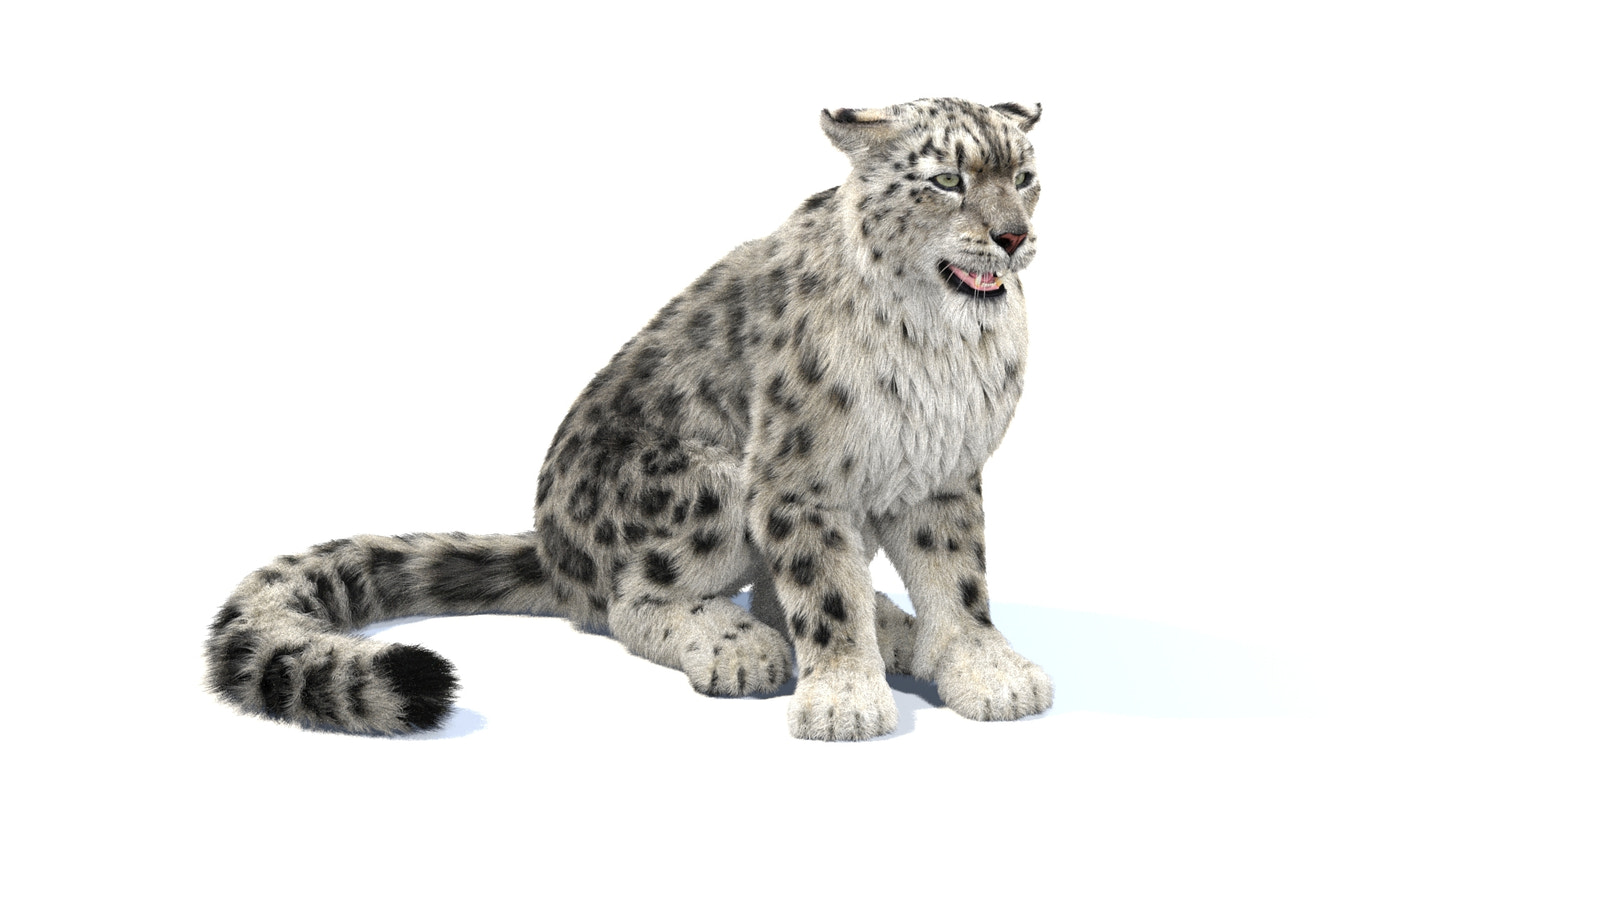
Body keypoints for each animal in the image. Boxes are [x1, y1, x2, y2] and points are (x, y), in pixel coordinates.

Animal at [205, 97, 1053, 741]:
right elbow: (824, 593)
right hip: (715, 483)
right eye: (946, 179)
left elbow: (959, 577)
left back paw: (897, 631)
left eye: (1025, 176)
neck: (940, 347)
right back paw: (738, 645)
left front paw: (985, 669)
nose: (1012, 236)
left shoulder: (942, 471)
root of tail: (553, 548)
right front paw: (845, 699)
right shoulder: (799, 481)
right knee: (633, 602)